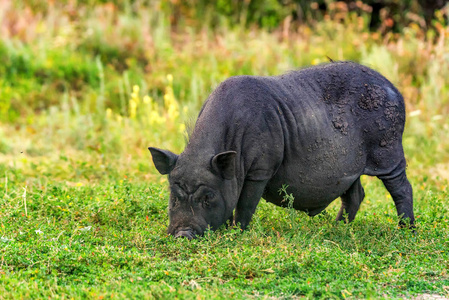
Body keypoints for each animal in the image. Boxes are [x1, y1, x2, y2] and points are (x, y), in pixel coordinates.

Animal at [150, 61, 412, 239]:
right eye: (174, 196)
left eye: (208, 197)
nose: (183, 234)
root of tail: (395, 90)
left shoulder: (261, 169)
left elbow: (245, 203)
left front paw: (237, 233)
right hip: (351, 170)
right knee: (356, 195)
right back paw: (337, 228)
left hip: (388, 151)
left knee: (402, 188)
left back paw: (406, 231)